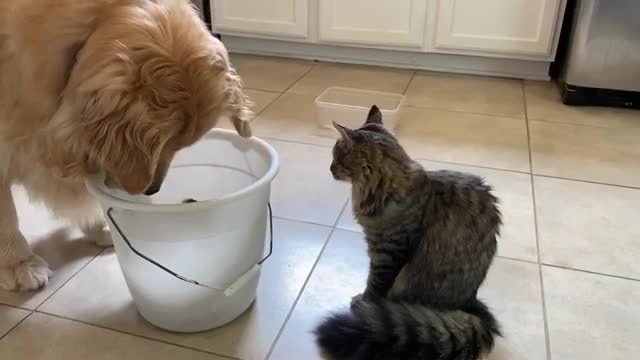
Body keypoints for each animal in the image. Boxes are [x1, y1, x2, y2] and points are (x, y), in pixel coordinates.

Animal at [0, 0, 255, 292]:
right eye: (161, 144)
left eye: (176, 146)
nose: (152, 189)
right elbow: (7, 217)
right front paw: (20, 263)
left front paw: (100, 227)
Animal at [312, 105, 502, 360]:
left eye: (336, 157)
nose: (330, 169)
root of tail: (470, 304)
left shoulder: (387, 253)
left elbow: (374, 285)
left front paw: (363, 307)